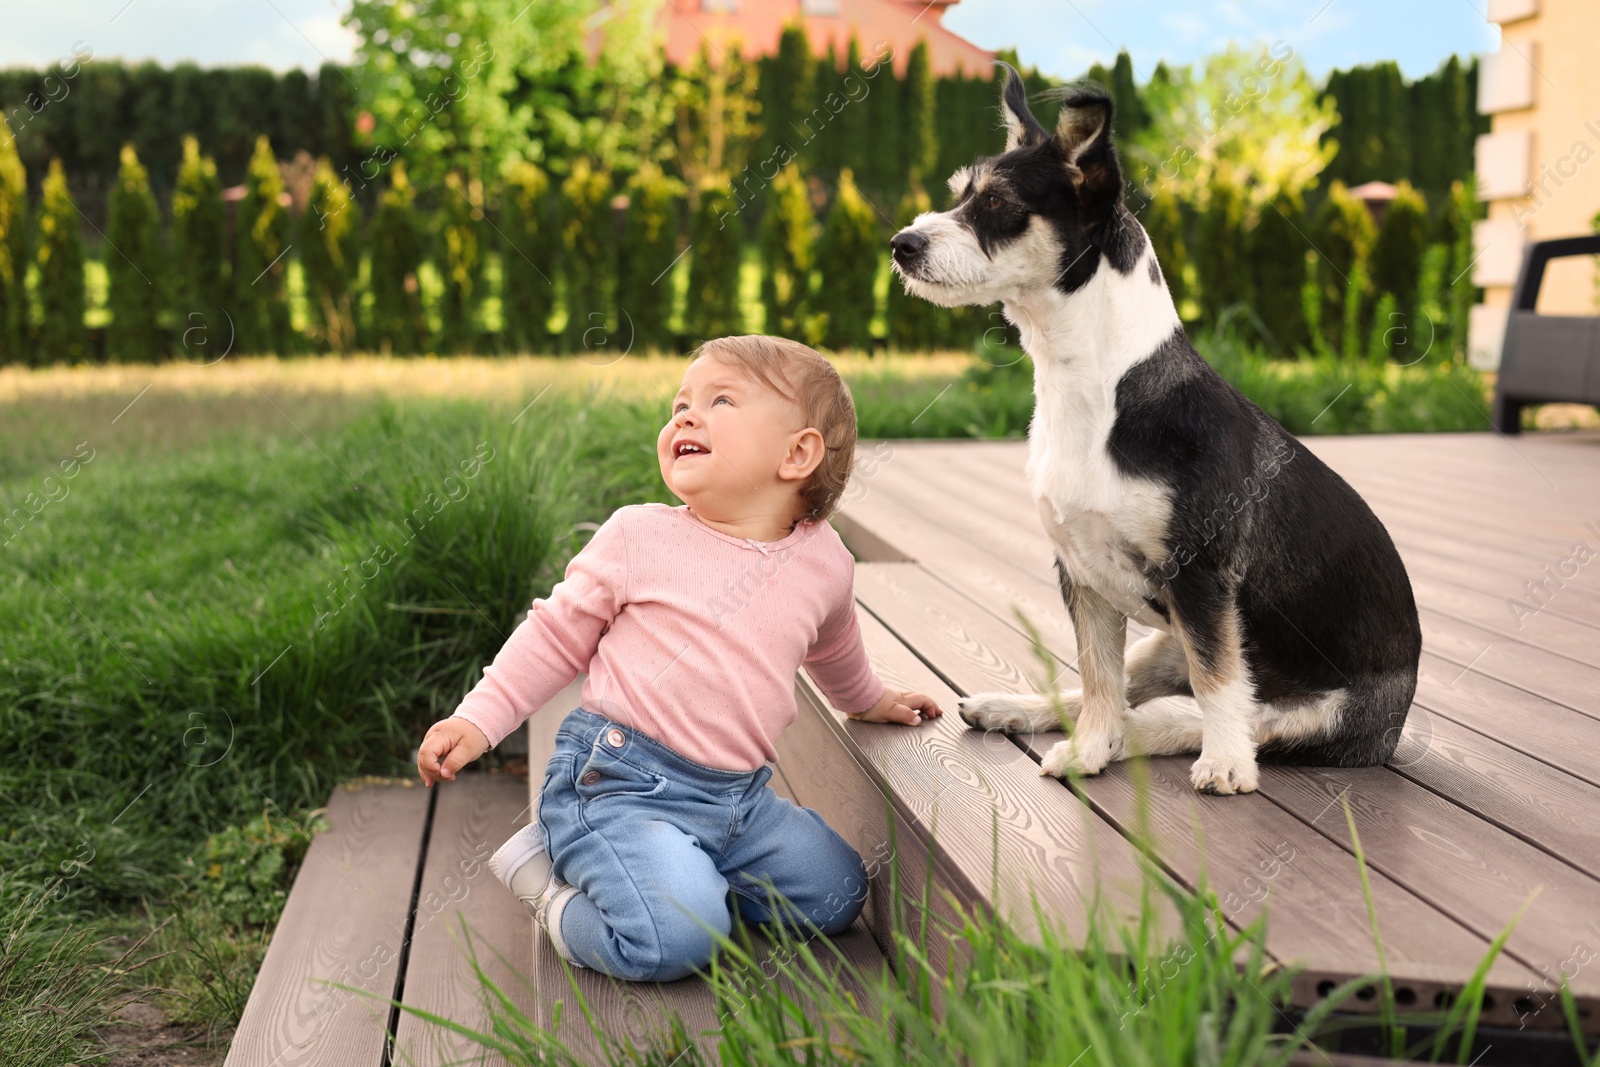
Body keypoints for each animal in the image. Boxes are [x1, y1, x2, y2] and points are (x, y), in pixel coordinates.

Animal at [889, 60, 1427, 793]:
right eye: (957, 198)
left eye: (996, 205)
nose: (901, 244)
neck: (1097, 393)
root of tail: (1400, 716)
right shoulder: (1083, 577)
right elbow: (1096, 676)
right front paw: (1089, 750)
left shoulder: (1201, 579)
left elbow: (1218, 682)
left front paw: (1225, 764)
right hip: (1161, 643)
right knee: (1118, 695)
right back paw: (1025, 711)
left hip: (1307, 711)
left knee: (1200, 715)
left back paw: (1180, 743)